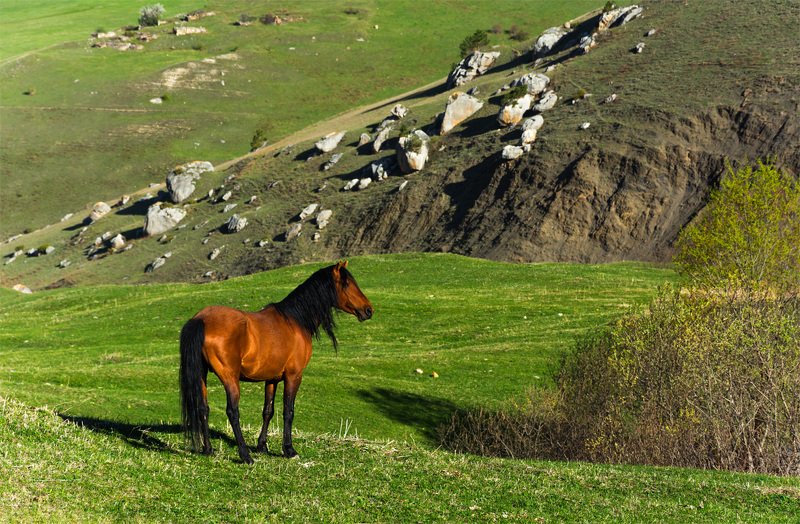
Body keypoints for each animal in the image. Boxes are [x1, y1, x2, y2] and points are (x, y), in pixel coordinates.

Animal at [179, 261, 373, 463]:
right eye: (347, 284)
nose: (369, 310)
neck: (295, 321)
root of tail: (201, 319)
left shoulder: (271, 379)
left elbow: (268, 411)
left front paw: (262, 446)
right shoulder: (293, 376)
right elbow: (288, 411)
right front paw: (289, 449)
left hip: (201, 374)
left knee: (203, 408)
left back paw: (208, 449)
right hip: (229, 377)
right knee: (232, 412)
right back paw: (245, 455)